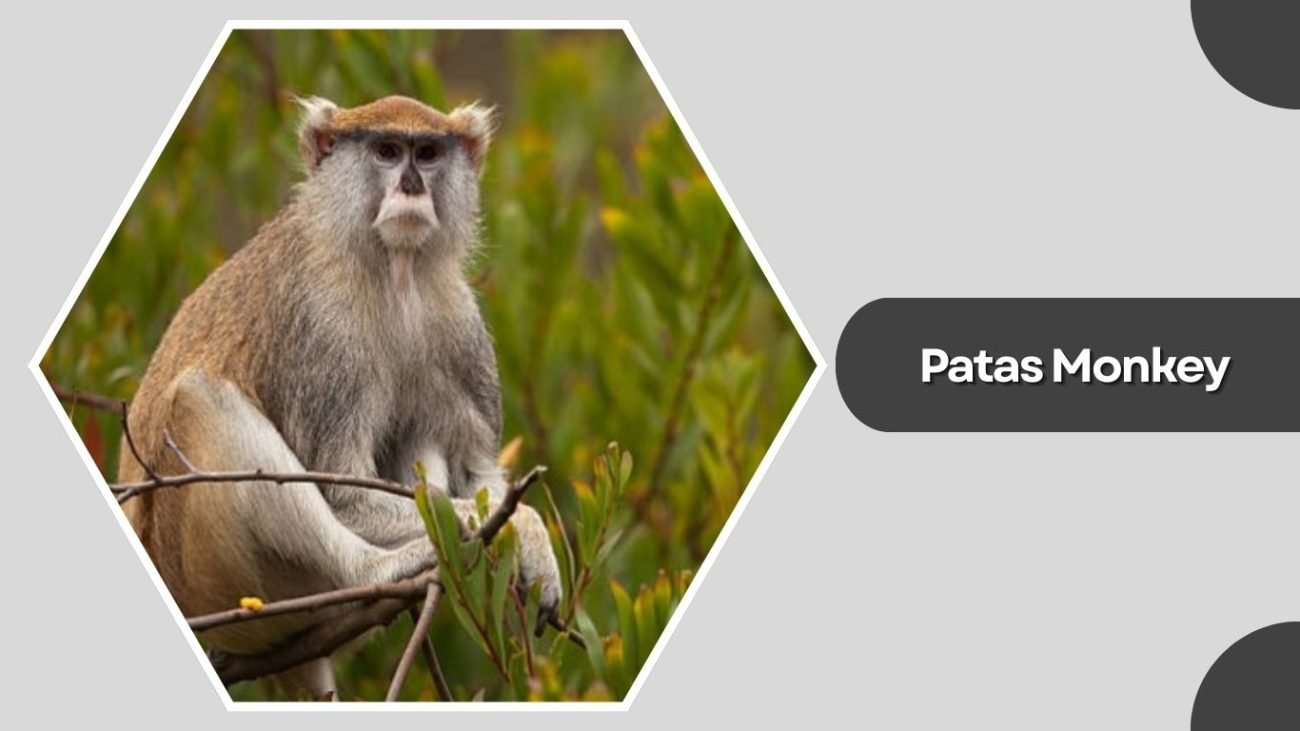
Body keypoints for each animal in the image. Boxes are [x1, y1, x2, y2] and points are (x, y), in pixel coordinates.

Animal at [116, 95, 562, 697]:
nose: (412, 186)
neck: (392, 270)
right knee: (199, 399)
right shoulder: (324, 334)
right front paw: (522, 527)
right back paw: (380, 571)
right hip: (217, 579)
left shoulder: (461, 330)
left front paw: (526, 540)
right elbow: (343, 493)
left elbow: (475, 471)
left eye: (427, 152)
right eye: (387, 151)